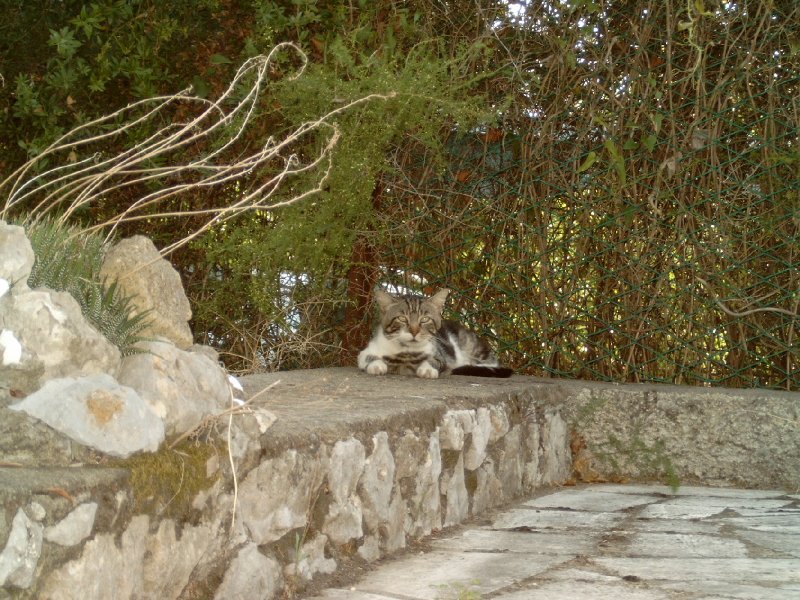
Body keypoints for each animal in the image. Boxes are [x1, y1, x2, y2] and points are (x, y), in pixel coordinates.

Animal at [358, 288, 513, 379]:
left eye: (425, 319)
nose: (414, 331)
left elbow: (434, 361)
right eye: (402, 318)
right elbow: (368, 357)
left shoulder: (440, 355)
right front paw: (377, 365)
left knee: (490, 364)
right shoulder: (365, 351)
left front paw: (427, 368)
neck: (406, 352)